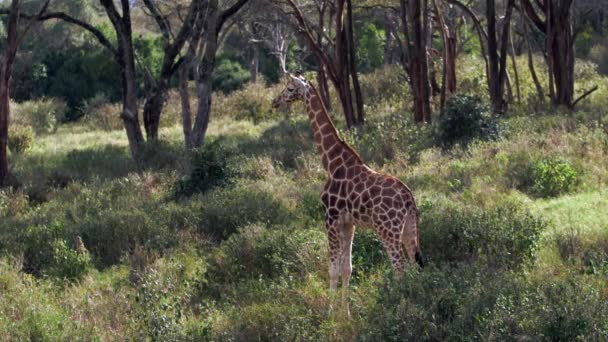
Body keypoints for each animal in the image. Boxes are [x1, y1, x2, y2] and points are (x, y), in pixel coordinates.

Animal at [272, 73, 422, 314]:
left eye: (290, 88)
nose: (275, 101)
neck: (331, 162)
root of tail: (409, 198)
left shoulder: (330, 218)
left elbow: (332, 267)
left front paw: (330, 313)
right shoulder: (348, 223)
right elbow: (347, 268)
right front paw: (346, 313)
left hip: (387, 229)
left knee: (400, 268)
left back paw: (398, 309)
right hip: (409, 227)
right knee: (414, 265)